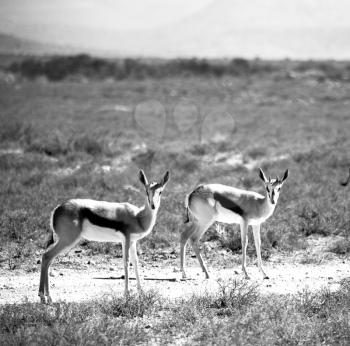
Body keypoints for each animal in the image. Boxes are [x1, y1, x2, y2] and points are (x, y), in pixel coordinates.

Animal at [38, 170, 170, 302]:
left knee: (49, 259)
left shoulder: (132, 241)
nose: (153, 205)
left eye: (160, 191)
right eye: (147, 191)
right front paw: (127, 294)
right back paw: (43, 296)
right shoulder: (126, 239)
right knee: (46, 256)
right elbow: (126, 262)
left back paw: (48, 297)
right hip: (68, 240)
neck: (138, 217)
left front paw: (141, 293)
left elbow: (136, 262)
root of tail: (57, 209)